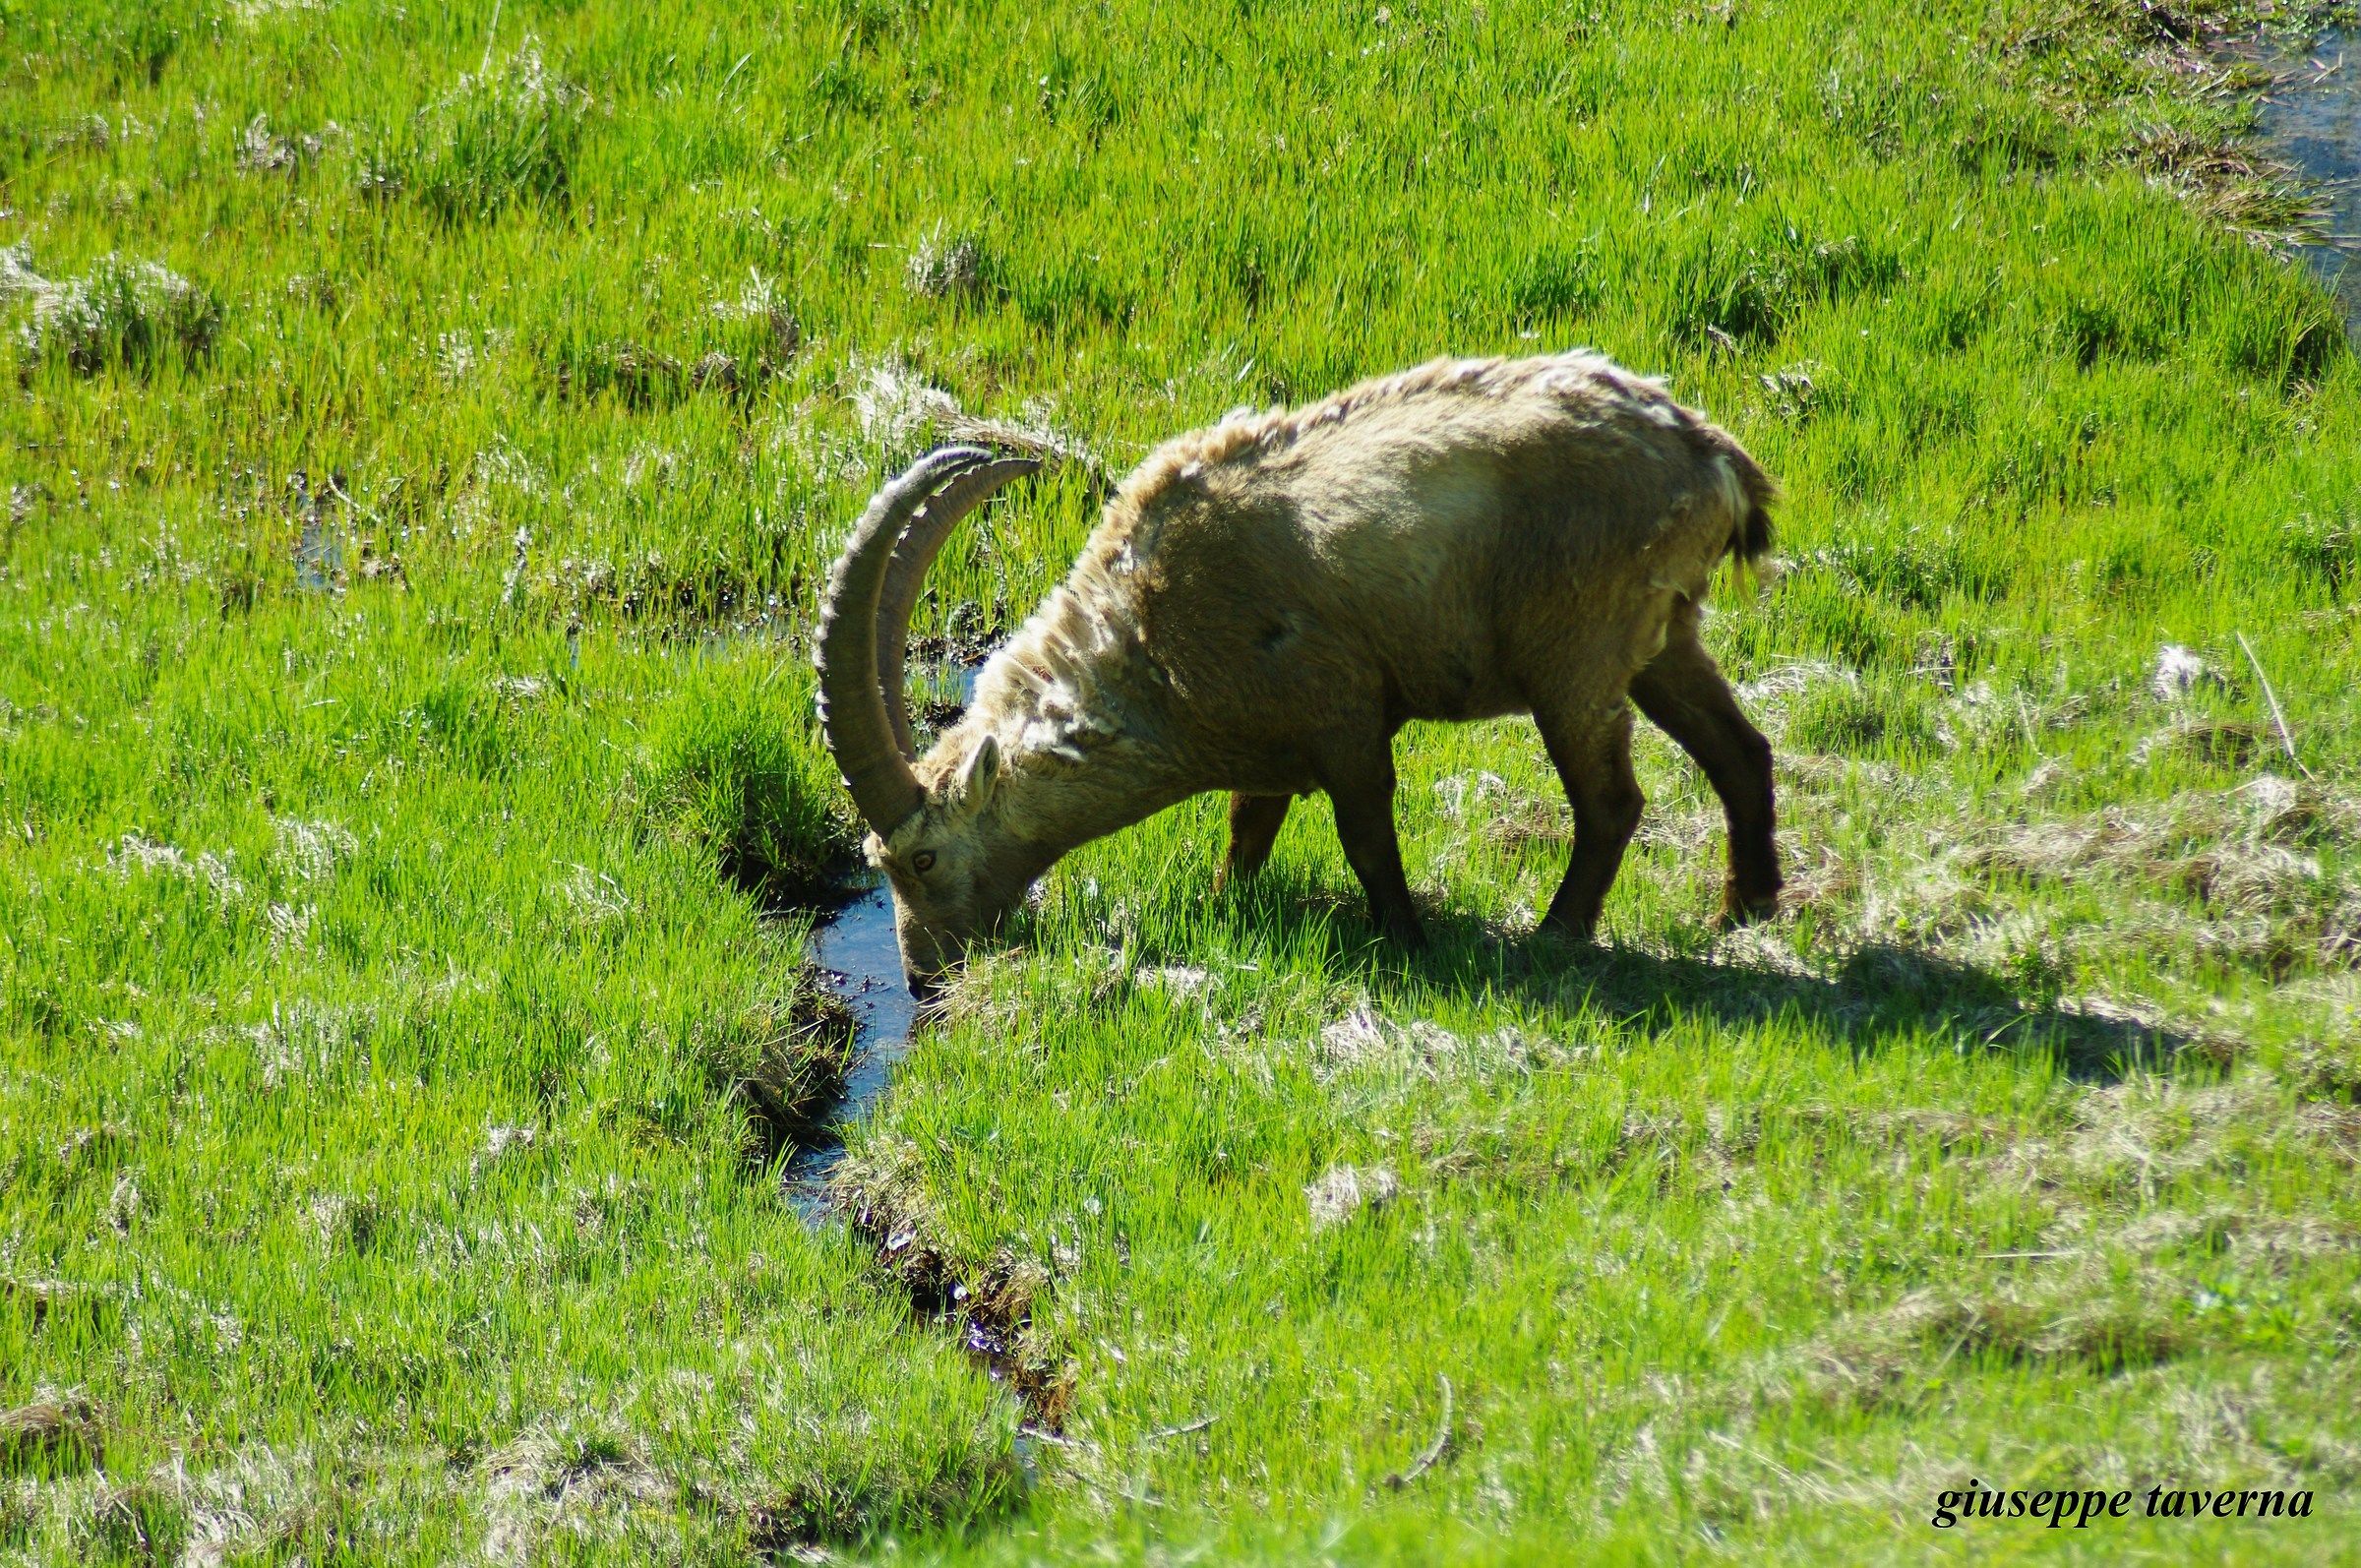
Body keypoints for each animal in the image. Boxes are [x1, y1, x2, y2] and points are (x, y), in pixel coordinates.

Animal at [816, 351, 1783, 996]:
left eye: (923, 858)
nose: (924, 980)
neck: (1151, 638)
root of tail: (1714, 461)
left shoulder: (1343, 716)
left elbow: (1368, 840)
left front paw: (1407, 944)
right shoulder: (1269, 748)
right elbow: (1247, 833)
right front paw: (1227, 910)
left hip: (1574, 654)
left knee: (1612, 800)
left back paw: (1557, 935)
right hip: (1662, 639)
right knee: (1742, 751)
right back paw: (1746, 911)